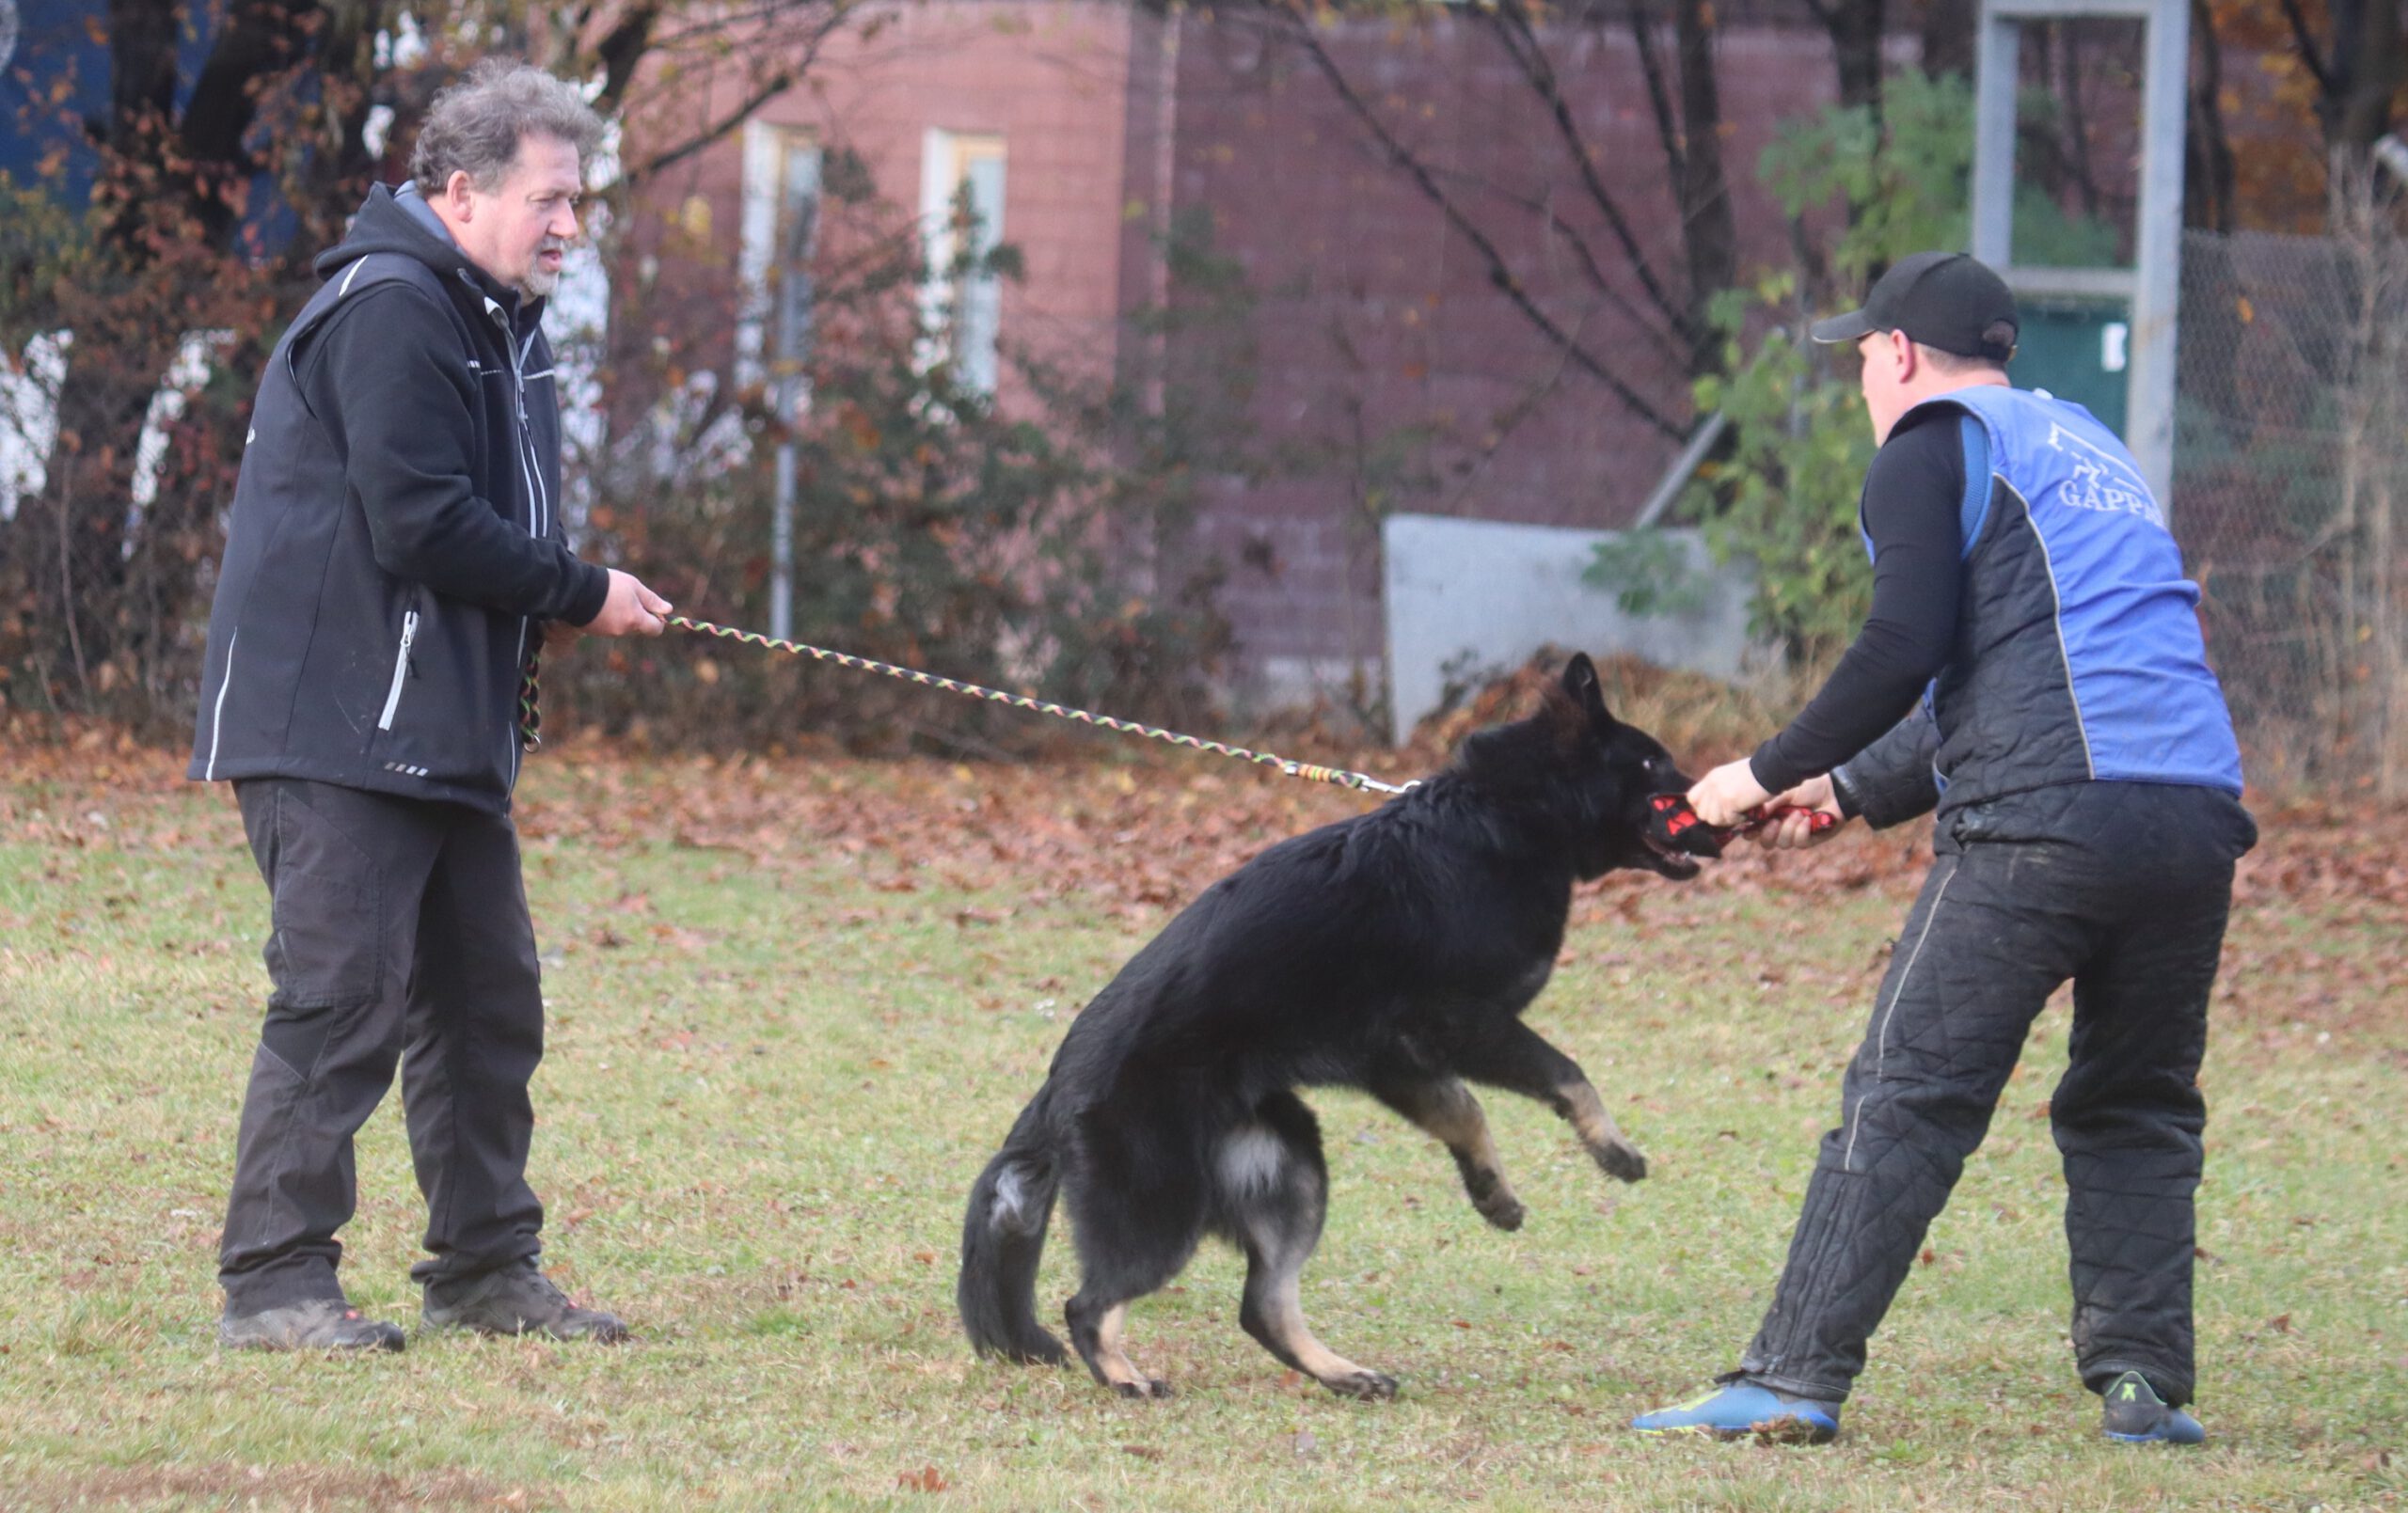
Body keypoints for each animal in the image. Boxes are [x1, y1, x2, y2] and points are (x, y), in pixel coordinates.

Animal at [948, 654, 1704, 1395]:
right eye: (1654, 764)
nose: (1714, 815)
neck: (1508, 813)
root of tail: (1054, 1093)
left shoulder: (1397, 1057)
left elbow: (1463, 1110)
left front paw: (1492, 1189)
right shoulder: (1451, 1023)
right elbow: (1566, 1074)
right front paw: (1613, 1149)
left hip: (1290, 1170)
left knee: (1262, 1306)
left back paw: (1345, 1373)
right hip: (1165, 1207)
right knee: (1089, 1303)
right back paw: (1124, 1377)